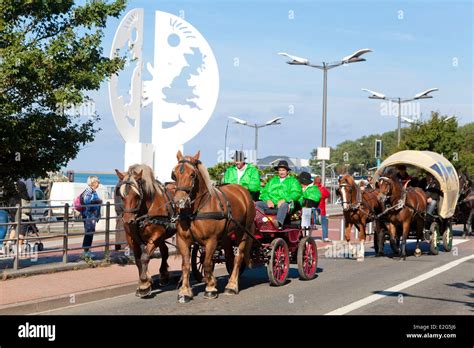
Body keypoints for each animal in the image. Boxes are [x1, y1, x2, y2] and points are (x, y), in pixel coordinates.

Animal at [114, 164, 176, 298]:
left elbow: (145, 257)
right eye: (122, 195)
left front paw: (143, 285)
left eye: (137, 195)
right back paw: (164, 275)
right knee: (165, 251)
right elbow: (138, 260)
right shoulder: (132, 239)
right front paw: (145, 281)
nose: (128, 220)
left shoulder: (156, 236)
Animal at [171, 151, 256, 304]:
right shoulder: (183, 240)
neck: (196, 210)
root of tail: (242, 191)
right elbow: (186, 265)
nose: (178, 202)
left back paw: (232, 285)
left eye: (192, 174)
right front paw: (185, 292)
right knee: (229, 256)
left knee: (238, 257)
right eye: (174, 175)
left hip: (243, 232)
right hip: (227, 236)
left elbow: (207, 263)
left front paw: (210, 288)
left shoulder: (211, 240)